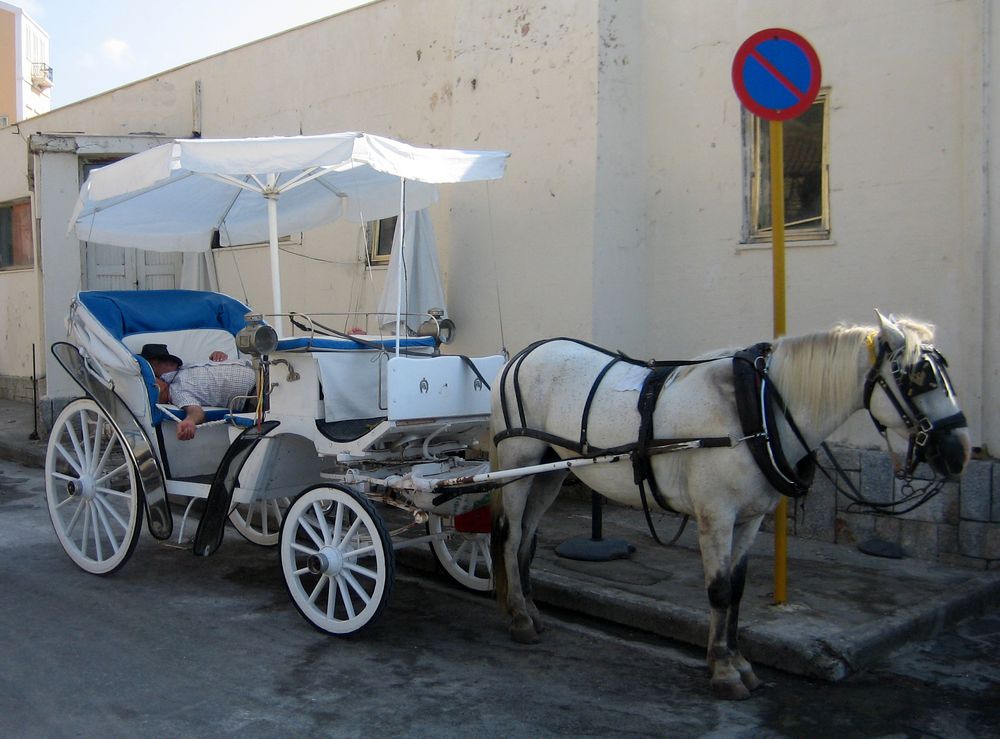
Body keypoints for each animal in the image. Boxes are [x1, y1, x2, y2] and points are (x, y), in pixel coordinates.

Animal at [488, 310, 972, 700]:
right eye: (919, 378)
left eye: (943, 373)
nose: (961, 452)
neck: (755, 410)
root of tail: (520, 355)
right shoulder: (717, 515)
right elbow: (719, 589)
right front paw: (723, 673)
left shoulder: (750, 518)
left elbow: (736, 589)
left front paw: (738, 663)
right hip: (517, 464)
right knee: (510, 538)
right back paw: (519, 619)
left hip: (549, 470)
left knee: (527, 538)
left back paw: (530, 609)